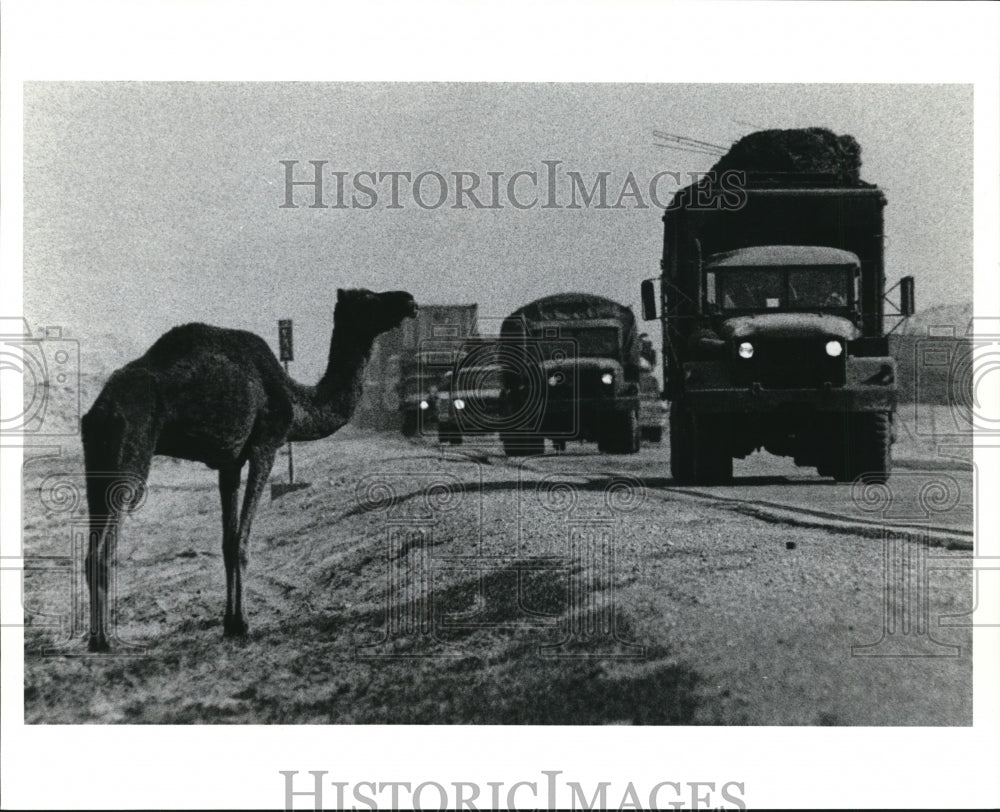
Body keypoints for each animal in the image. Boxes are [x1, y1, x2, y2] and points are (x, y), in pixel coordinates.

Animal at [80, 288, 418, 652]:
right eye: (368, 299)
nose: (408, 300)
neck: (295, 400)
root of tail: (102, 408)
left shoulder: (228, 463)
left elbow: (228, 542)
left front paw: (229, 622)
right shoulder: (265, 445)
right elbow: (242, 540)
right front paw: (243, 623)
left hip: (97, 460)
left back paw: (96, 636)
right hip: (131, 452)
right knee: (104, 548)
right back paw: (103, 640)